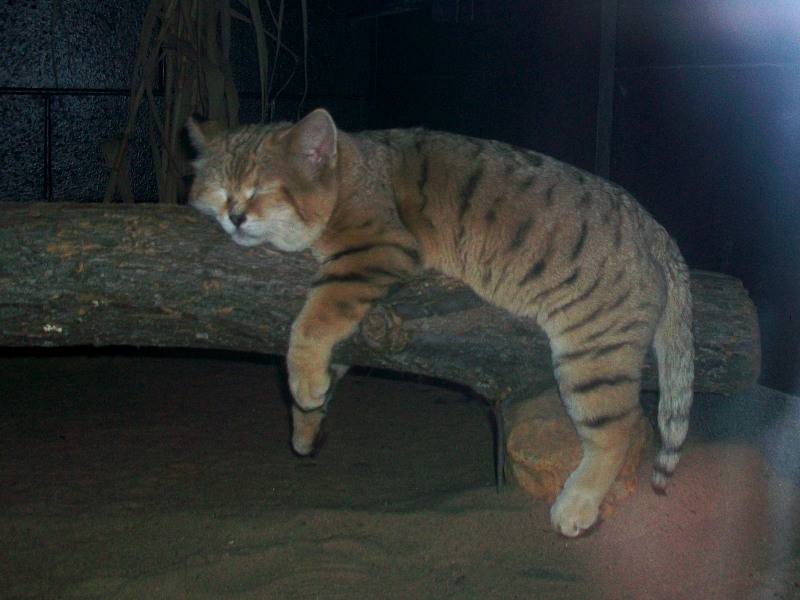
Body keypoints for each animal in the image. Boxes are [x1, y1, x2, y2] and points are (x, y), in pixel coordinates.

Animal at [184, 110, 692, 536]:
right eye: (219, 190)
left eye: (261, 190)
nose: (234, 217)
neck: (350, 170)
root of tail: (654, 227)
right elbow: (330, 364)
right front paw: (306, 424)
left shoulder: (373, 251)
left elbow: (315, 319)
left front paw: (305, 383)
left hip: (591, 354)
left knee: (618, 431)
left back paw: (578, 503)